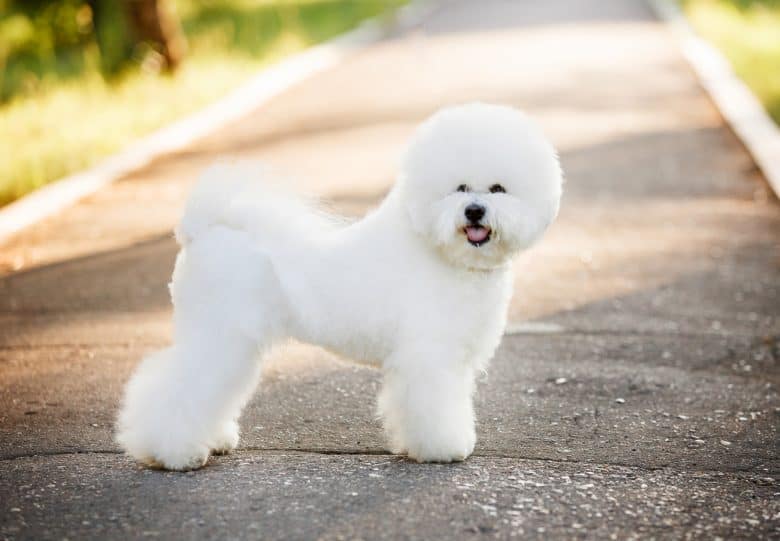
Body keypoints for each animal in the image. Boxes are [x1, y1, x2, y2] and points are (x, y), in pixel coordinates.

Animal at [116, 101, 560, 468]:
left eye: (498, 189)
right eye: (460, 187)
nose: (474, 211)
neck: (439, 252)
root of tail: (202, 231)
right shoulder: (429, 355)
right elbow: (434, 406)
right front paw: (444, 449)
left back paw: (214, 439)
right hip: (220, 335)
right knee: (179, 386)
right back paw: (175, 453)